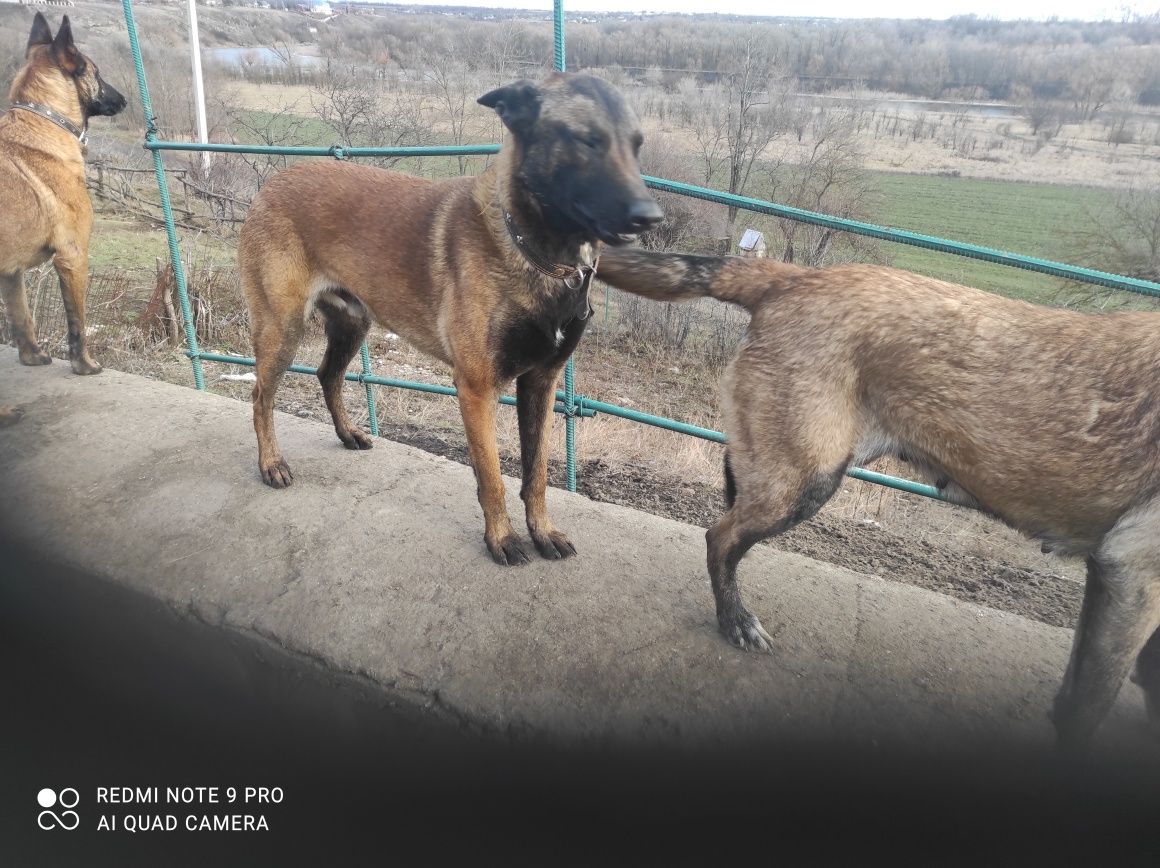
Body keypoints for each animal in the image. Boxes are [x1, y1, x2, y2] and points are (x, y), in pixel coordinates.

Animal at [0, 11, 127, 399]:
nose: (124, 100)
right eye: (95, 73)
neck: (43, 119)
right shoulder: (73, 256)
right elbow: (77, 322)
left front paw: (31, 357)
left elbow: (22, 315)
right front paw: (84, 365)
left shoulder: (10, 273)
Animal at [237, 72, 663, 563]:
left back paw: (346, 434)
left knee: (328, 375)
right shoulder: (477, 389)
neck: (538, 256)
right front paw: (502, 538)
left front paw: (542, 531)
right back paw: (272, 464)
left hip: (352, 324)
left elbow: (536, 473)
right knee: (260, 398)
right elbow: (493, 476)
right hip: (282, 328)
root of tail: (274, 180)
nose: (650, 217)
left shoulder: (541, 383)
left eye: (636, 145)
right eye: (586, 140)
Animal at [598, 247, 1160, 747]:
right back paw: (736, 622)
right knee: (720, 537)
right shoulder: (1132, 577)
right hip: (805, 481)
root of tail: (794, 277)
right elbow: (1086, 705)